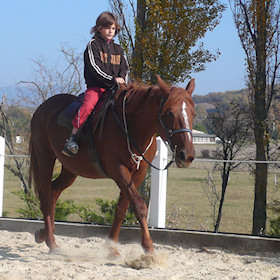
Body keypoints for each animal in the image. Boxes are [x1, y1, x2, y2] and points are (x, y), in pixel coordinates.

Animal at [28, 75, 195, 255]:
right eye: (169, 113)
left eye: (193, 113)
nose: (187, 155)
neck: (131, 127)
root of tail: (42, 108)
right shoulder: (119, 170)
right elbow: (140, 206)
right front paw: (149, 248)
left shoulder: (138, 173)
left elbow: (122, 208)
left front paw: (112, 247)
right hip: (45, 159)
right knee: (46, 195)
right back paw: (51, 242)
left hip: (71, 169)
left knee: (54, 191)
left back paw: (44, 234)